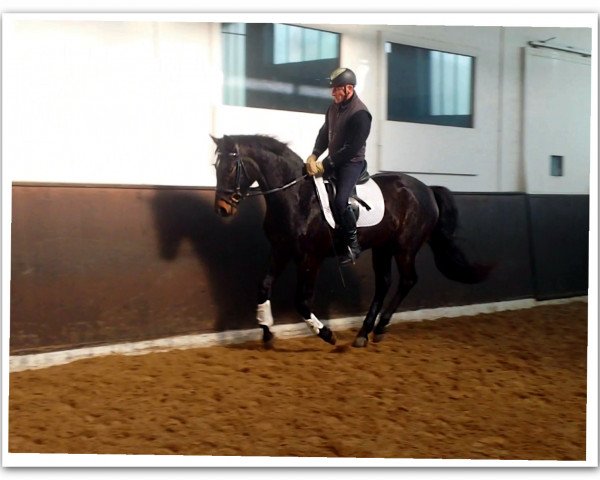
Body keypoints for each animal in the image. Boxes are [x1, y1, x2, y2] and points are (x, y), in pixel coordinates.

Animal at [211, 133, 488, 346]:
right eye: (215, 167)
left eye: (232, 167)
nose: (222, 209)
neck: (296, 197)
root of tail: (427, 189)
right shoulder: (281, 250)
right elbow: (263, 287)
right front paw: (267, 331)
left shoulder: (310, 258)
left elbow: (301, 301)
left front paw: (327, 334)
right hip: (382, 248)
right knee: (384, 283)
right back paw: (364, 333)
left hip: (405, 247)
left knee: (407, 280)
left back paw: (380, 328)